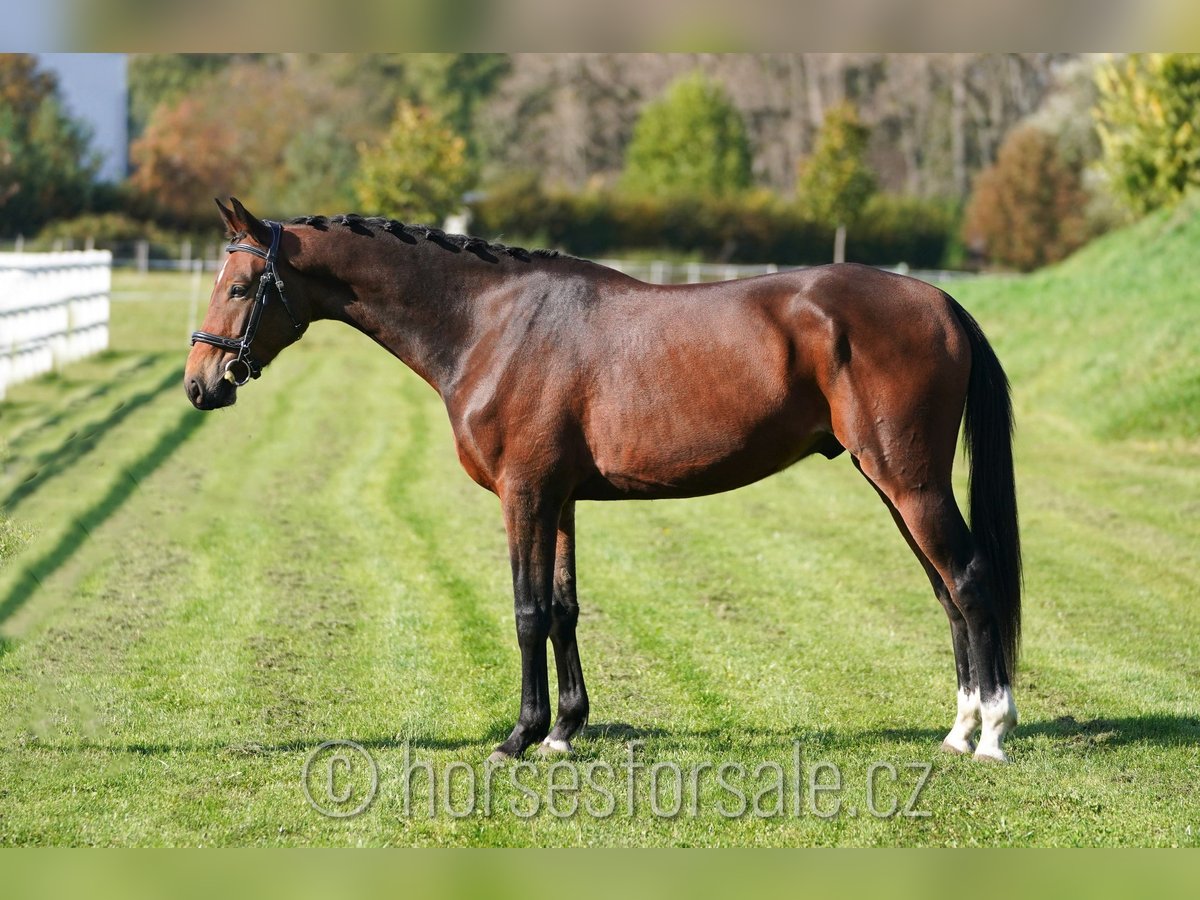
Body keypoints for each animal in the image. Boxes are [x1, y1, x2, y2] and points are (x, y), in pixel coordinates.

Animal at [187, 200, 1022, 763]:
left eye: (240, 287)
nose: (201, 385)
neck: (491, 324)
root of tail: (942, 303)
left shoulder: (524, 494)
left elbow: (526, 611)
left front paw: (519, 737)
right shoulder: (558, 499)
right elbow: (564, 610)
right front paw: (563, 731)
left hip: (910, 483)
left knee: (970, 579)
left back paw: (992, 733)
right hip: (892, 487)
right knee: (946, 592)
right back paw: (958, 729)